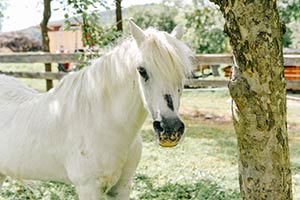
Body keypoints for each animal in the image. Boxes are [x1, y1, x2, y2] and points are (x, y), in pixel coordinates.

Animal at [0, 19, 192, 199]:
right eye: (141, 70)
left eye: (183, 72)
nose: (170, 129)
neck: (102, 123)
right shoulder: (88, 188)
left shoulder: (122, 187)